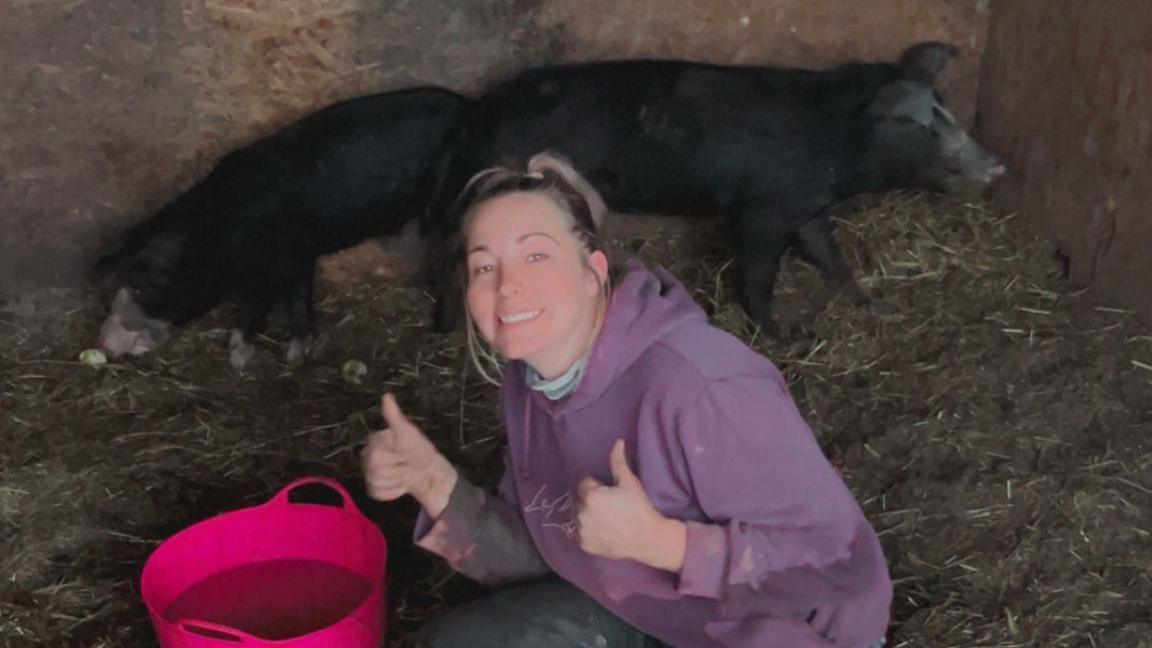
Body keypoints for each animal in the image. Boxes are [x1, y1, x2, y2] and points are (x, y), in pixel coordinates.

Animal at [97, 87, 469, 369]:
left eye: (143, 287)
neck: (219, 230)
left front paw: (261, 358)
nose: (104, 341)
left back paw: (440, 325)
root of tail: (469, 105)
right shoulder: (295, 258)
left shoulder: (283, 259)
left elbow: (274, 302)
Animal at [422, 42, 1004, 333]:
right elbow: (759, 274)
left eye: (945, 106)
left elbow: (826, 250)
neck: (836, 144)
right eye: (918, 124)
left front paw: (860, 297)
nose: (996, 165)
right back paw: (445, 329)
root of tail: (475, 113)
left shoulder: (804, 205)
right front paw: (780, 333)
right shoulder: (762, 212)